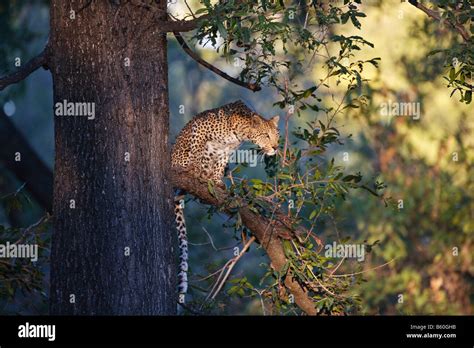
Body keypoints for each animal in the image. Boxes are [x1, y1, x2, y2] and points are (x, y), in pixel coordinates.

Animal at [172, 99, 280, 300]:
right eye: (266, 135)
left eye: (276, 136)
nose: (276, 147)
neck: (241, 130)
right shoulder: (200, 130)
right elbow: (197, 149)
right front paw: (195, 171)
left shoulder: (225, 150)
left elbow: (220, 164)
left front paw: (216, 181)